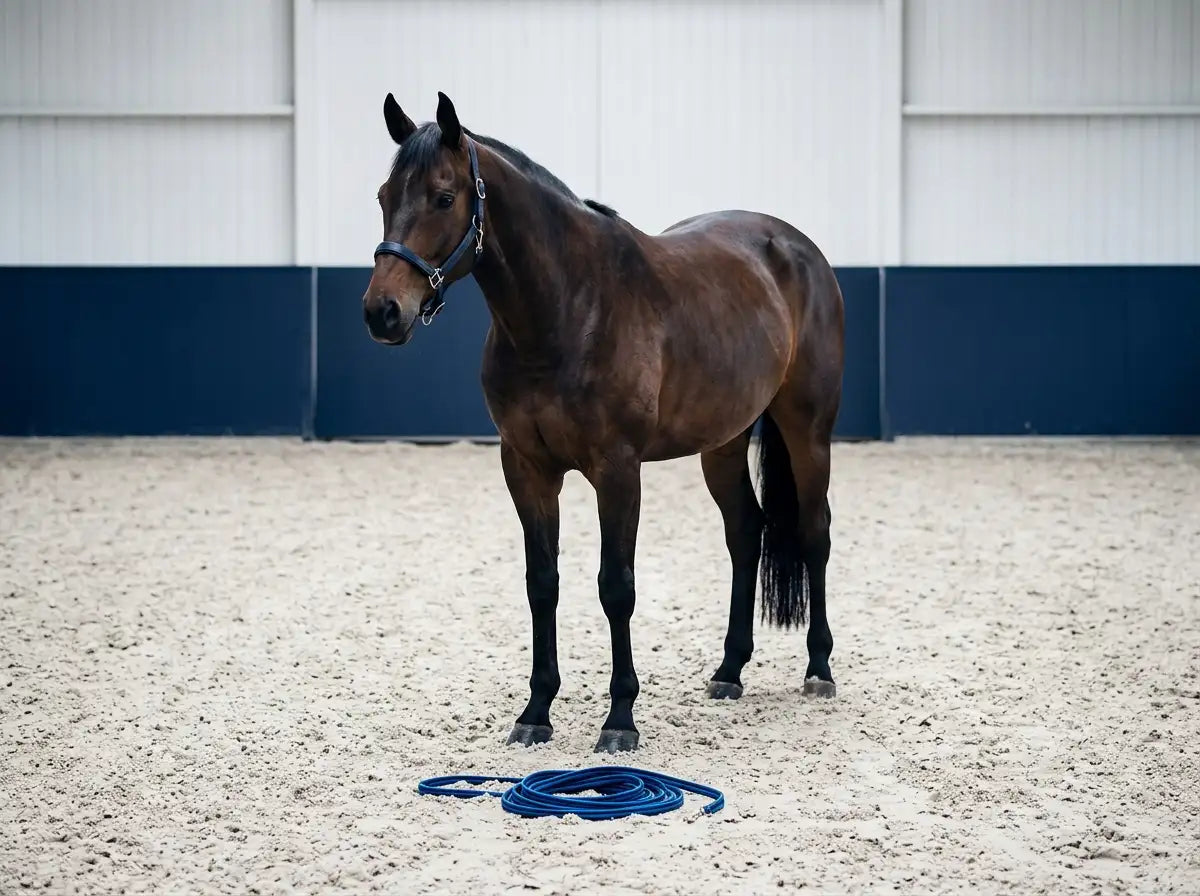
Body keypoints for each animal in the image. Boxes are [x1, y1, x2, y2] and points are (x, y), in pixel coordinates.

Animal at [362, 92, 845, 754]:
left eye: (442, 196)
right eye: (384, 196)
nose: (382, 312)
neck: (569, 310)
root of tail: (796, 247)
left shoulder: (617, 470)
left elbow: (616, 587)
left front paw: (620, 720)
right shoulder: (527, 468)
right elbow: (543, 583)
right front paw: (535, 712)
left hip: (807, 431)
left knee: (815, 532)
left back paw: (819, 669)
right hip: (721, 444)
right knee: (746, 533)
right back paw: (729, 671)